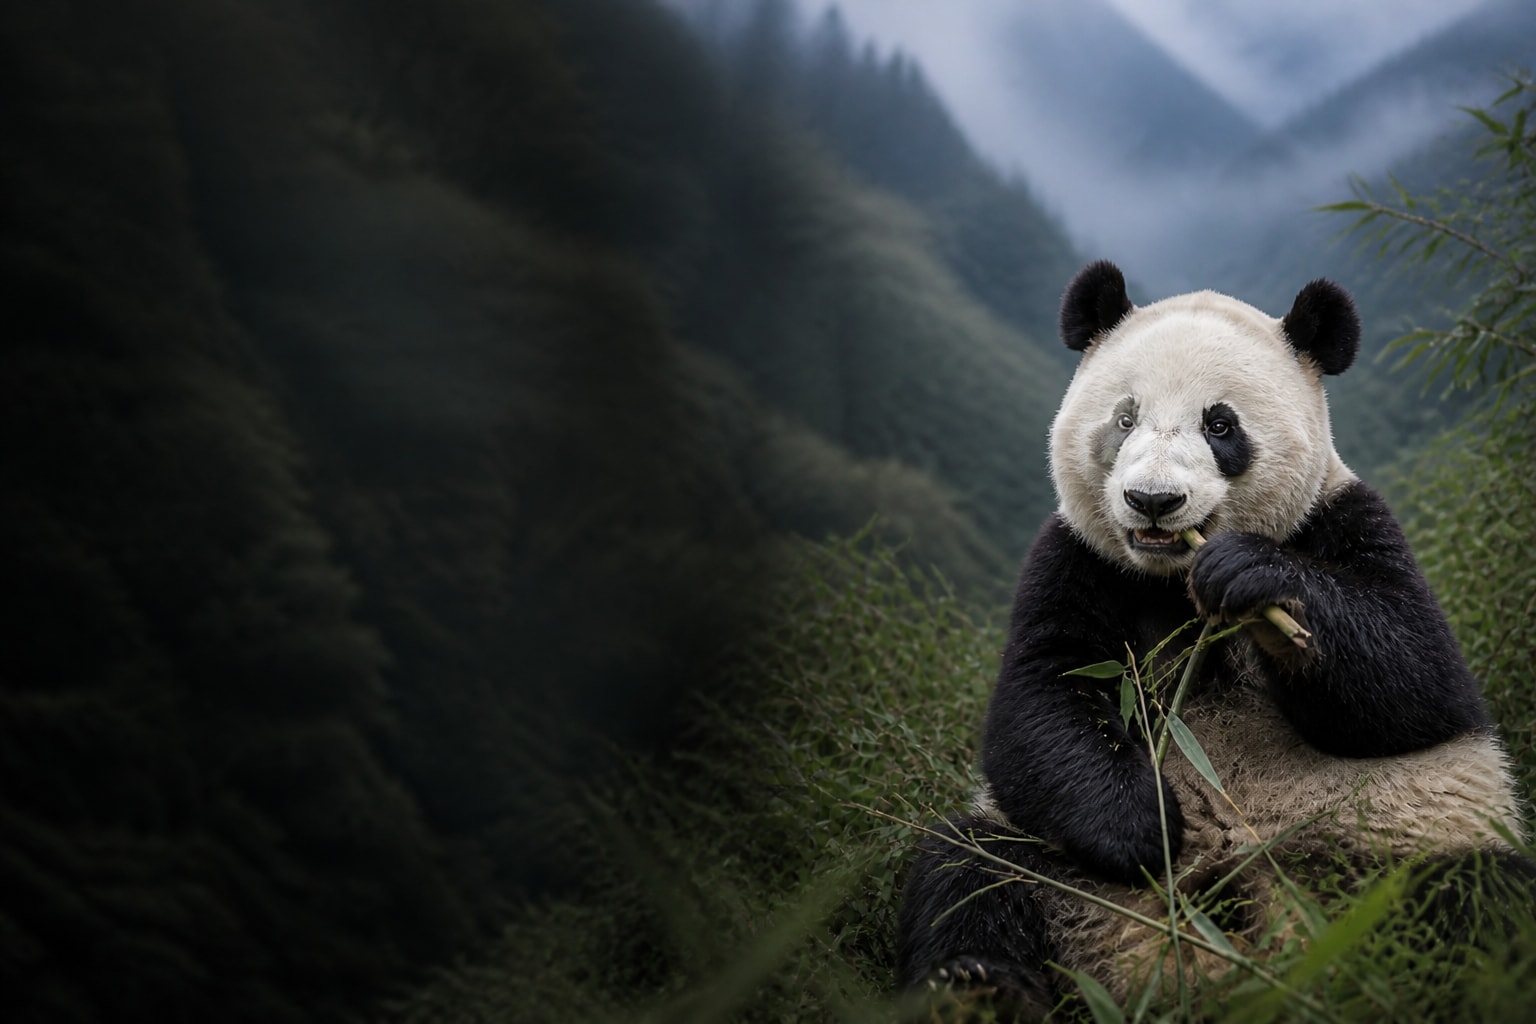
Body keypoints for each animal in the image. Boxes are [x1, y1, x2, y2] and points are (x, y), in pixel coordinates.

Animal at [895, 260, 1531, 1016]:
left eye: (1220, 425)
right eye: (1125, 419)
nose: (1153, 501)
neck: (1172, 579)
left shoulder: (1341, 515)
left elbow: (1415, 680)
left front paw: (1251, 578)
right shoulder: (1077, 557)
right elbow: (1041, 699)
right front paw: (1147, 827)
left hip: (1393, 850)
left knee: (1480, 901)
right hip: (1058, 871)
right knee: (971, 871)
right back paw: (980, 989)